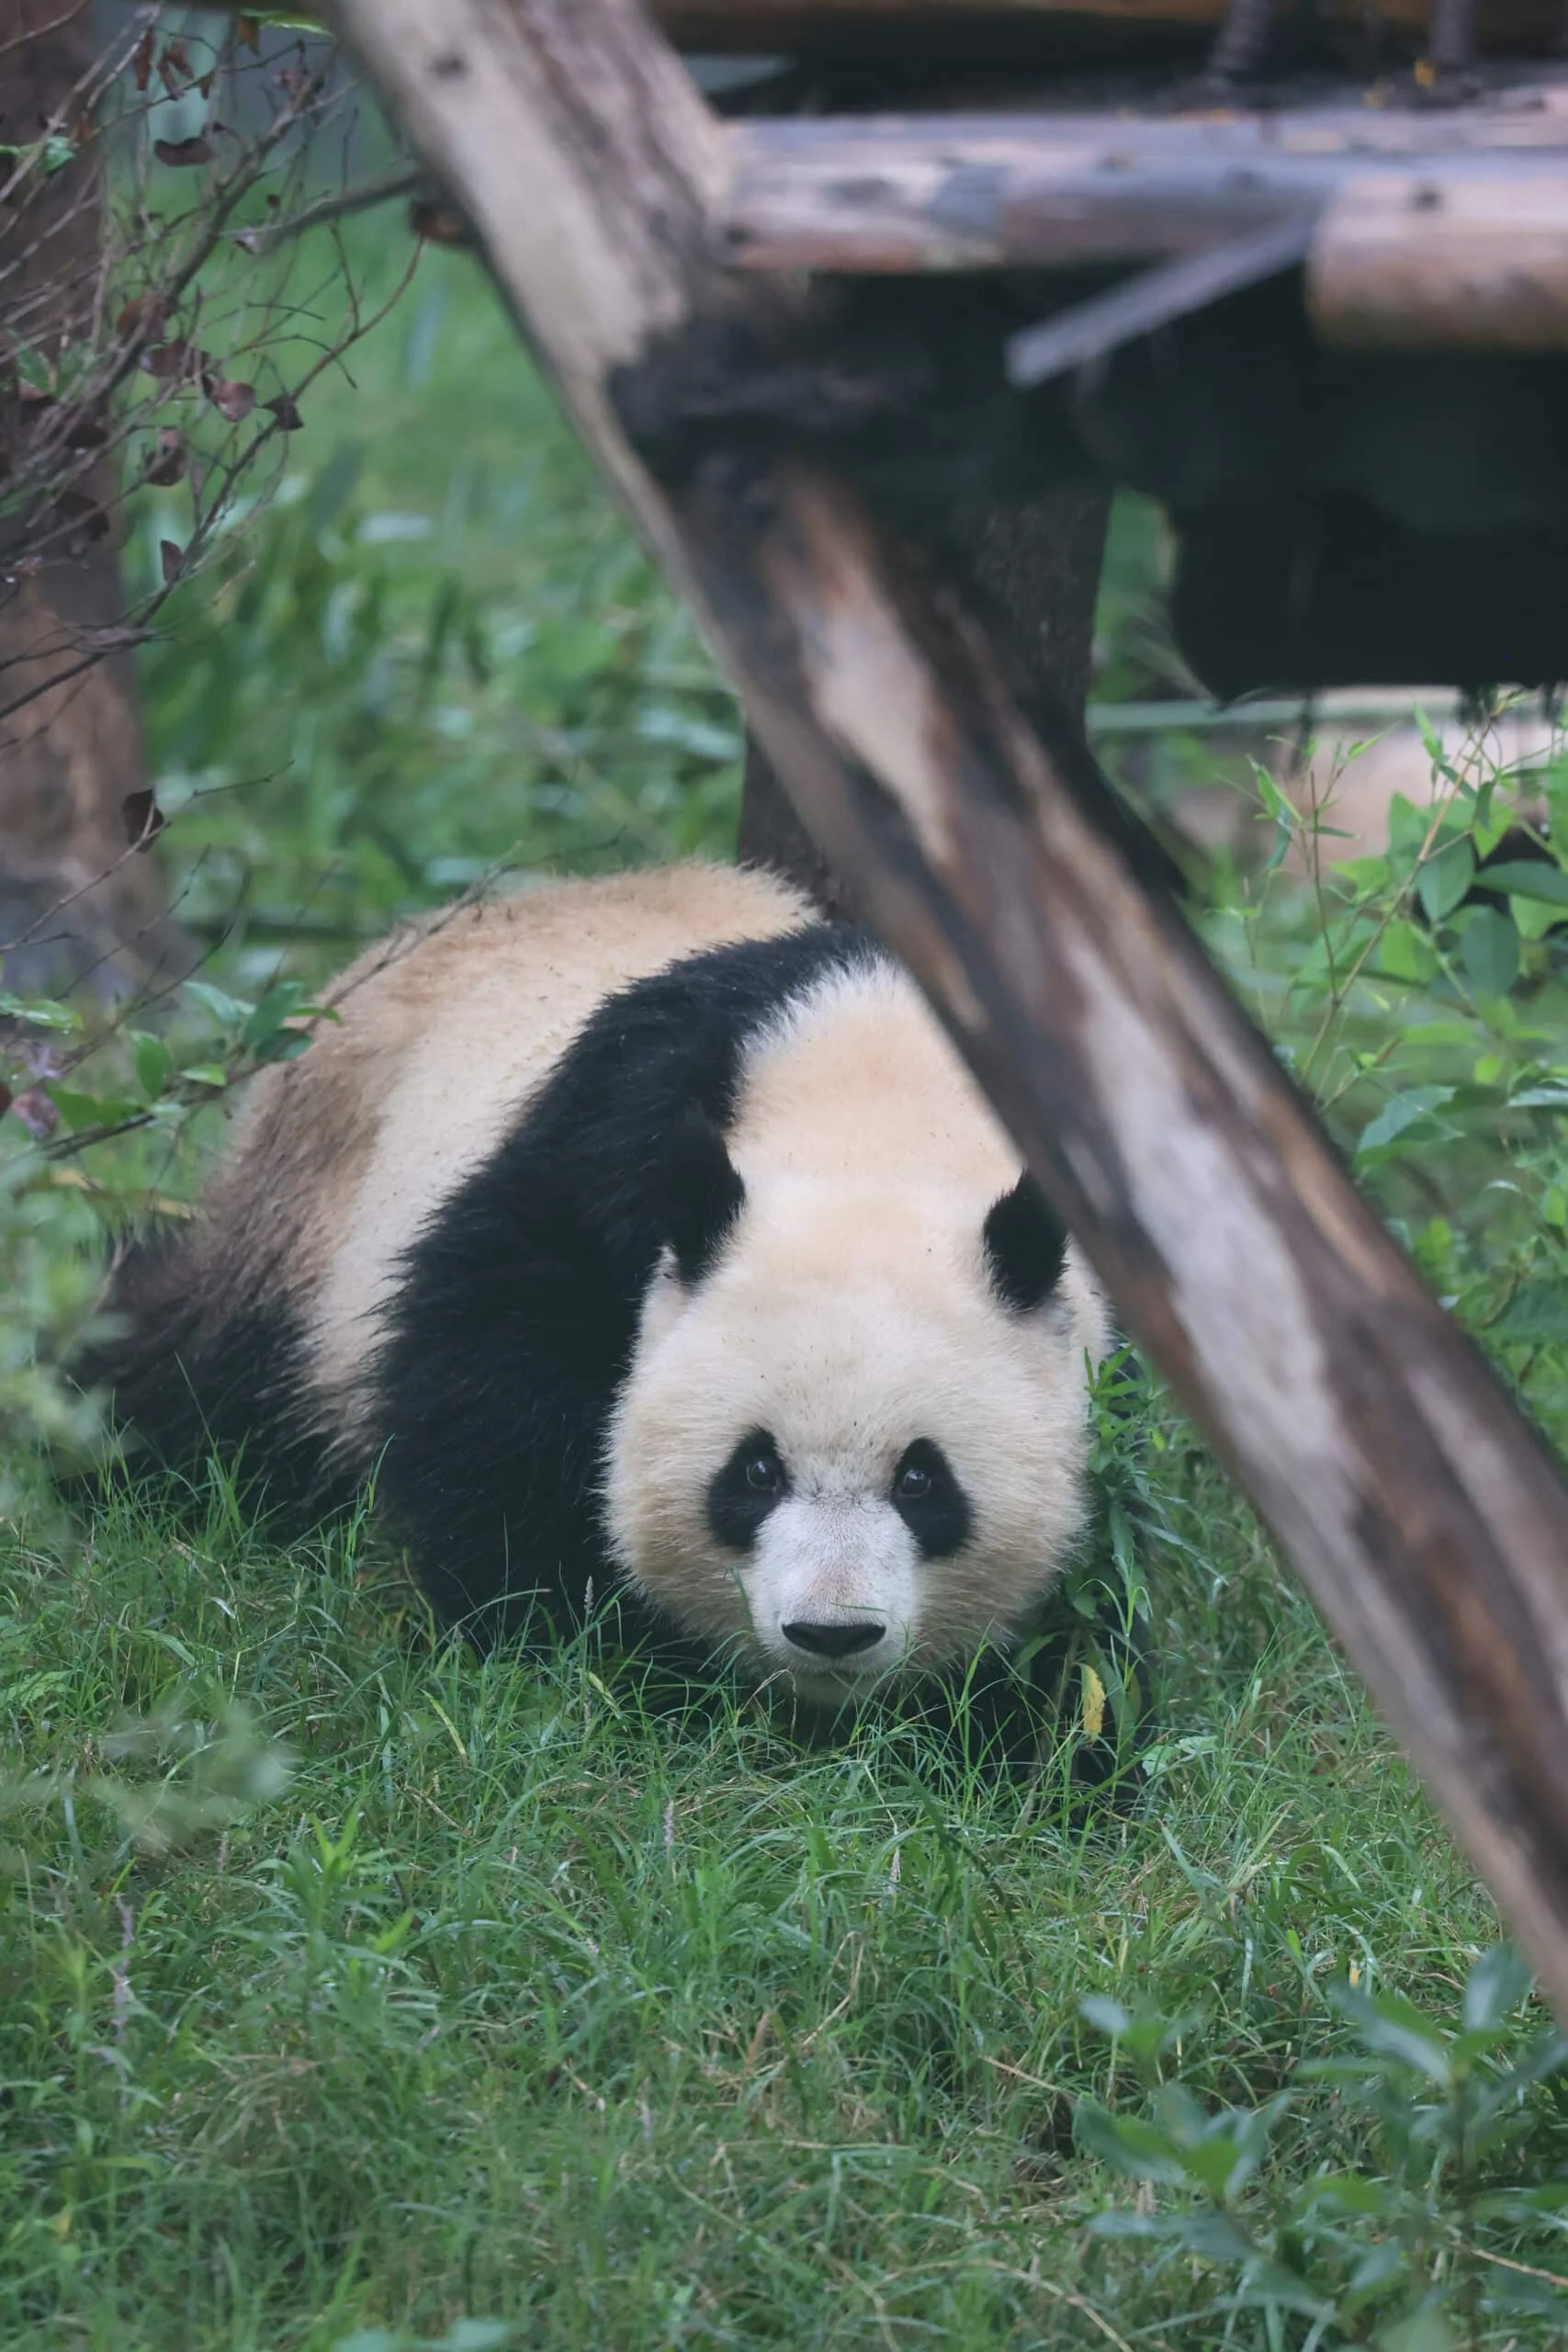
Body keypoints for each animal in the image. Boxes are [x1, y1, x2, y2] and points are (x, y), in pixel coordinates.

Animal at [84, 862, 1140, 1765]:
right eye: (753, 1470)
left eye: (923, 1481)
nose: (831, 1632)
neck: (881, 1116)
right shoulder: (616, 1142)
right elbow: (496, 1370)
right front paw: (601, 1653)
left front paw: (1028, 1733)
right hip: (316, 1209)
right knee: (200, 1379)